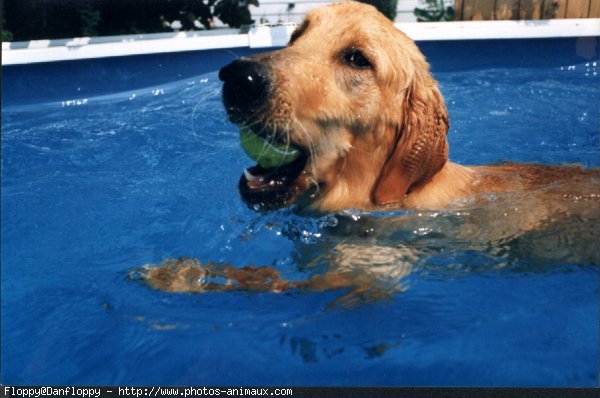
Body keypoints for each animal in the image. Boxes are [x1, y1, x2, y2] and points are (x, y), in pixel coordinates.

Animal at [138, 1, 596, 300]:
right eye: (296, 36)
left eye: (357, 59)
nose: (238, 78)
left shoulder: (367, 277)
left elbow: (267, 279)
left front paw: (181, 275)